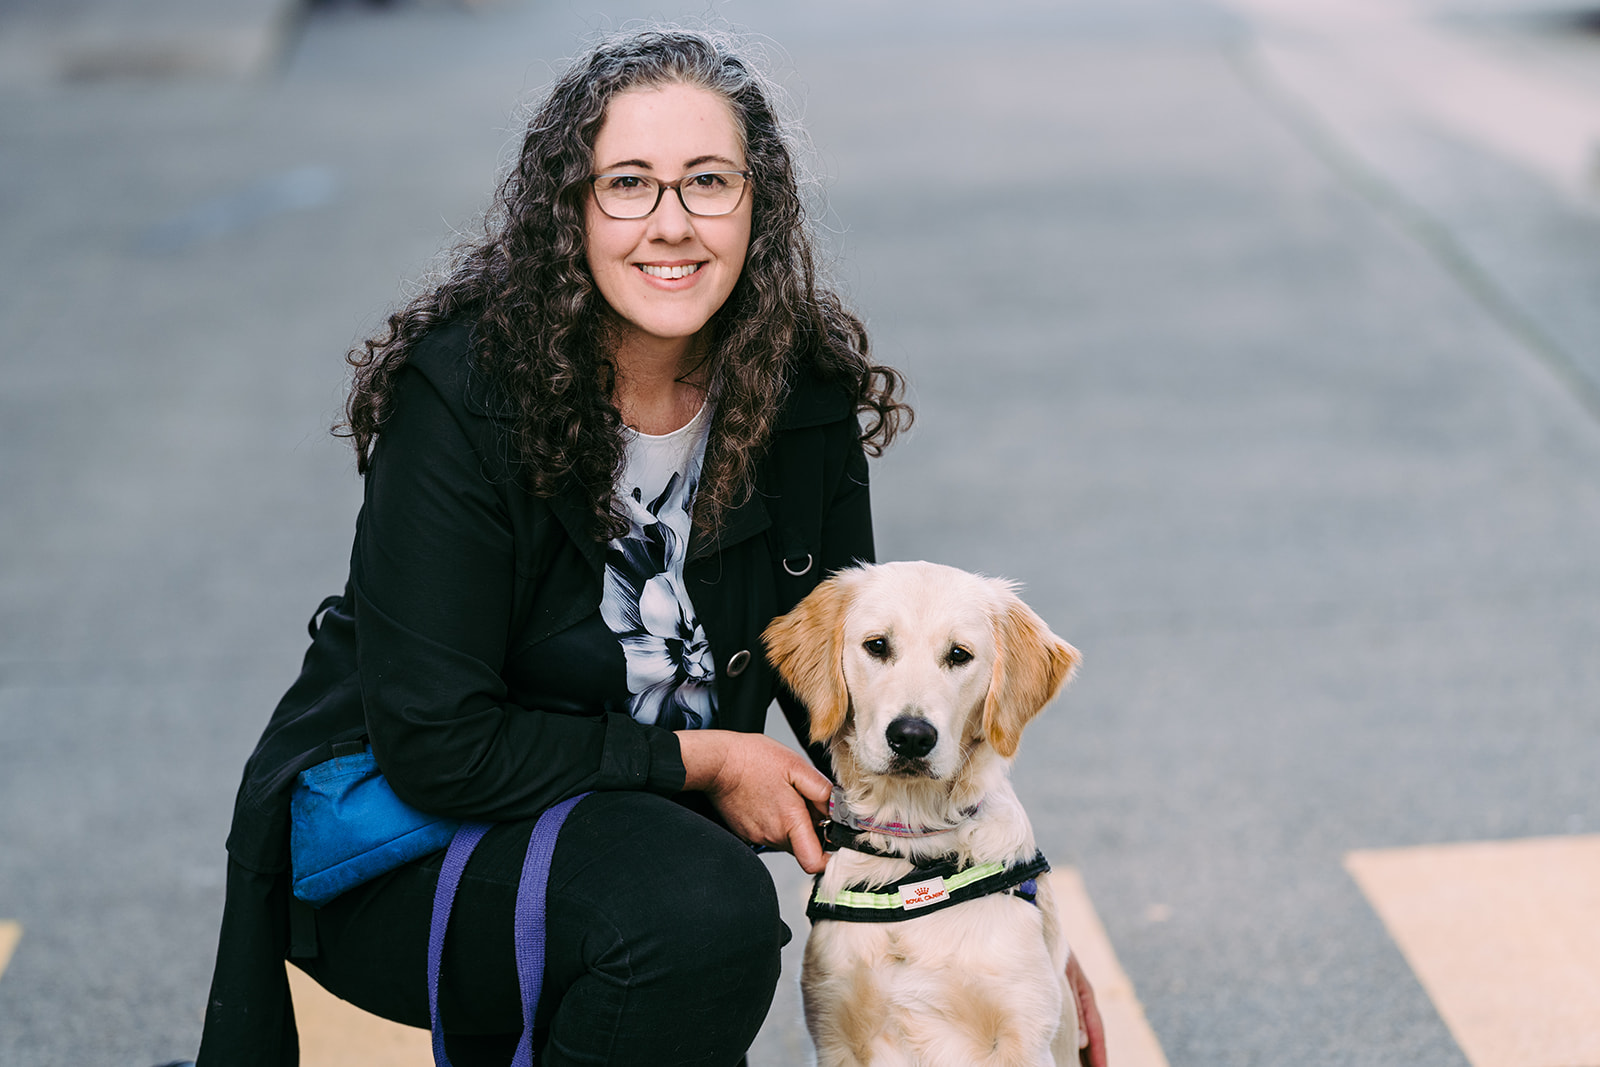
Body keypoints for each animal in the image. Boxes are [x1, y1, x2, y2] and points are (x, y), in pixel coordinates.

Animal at [764, 563, 1088, 1062]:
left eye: (959, 654)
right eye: (877, 645)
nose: (912, 736)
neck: (915, 855)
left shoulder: (1025, 1031)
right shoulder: (834, 1030)